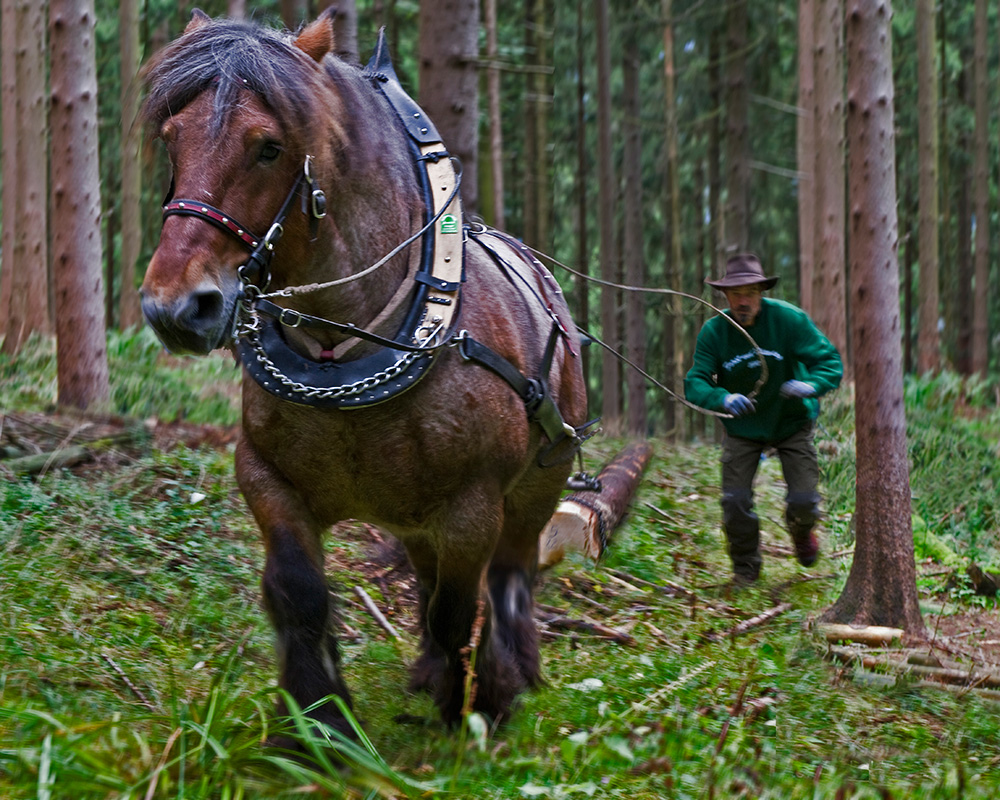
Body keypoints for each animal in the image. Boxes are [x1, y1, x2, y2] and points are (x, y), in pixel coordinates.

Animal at [140, 10, 588, 736]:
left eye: (268, 147)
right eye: (171, 138)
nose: (176, 307)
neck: (343, 350)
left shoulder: (473, 506)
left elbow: (459, 607)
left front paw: (468, 702)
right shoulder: (268, 481)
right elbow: (300, 594)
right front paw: (316, 720)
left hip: (538, 483)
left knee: (510, 576)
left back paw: (509, 672)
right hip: (412, 516)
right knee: (431, 574)